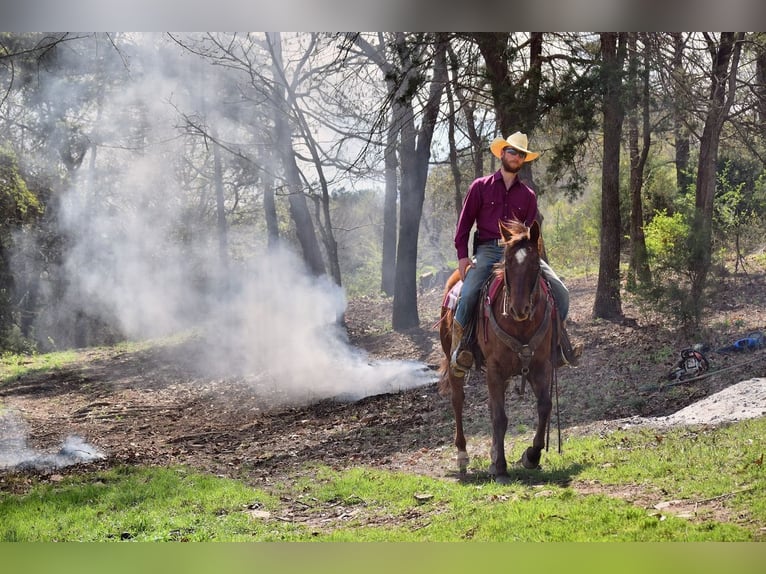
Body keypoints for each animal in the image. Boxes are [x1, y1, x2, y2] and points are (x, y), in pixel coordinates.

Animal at [438, 219, 556, 484]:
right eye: (508, 263)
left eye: (535, 264)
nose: (519, 309)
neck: (521, 325)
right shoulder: (495, 369)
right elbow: (500, 417)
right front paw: (501, 467)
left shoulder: (540, 366)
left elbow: (544, 406)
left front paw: (531, 456)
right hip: (454, 360)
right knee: (458, 400)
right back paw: (462, 454)